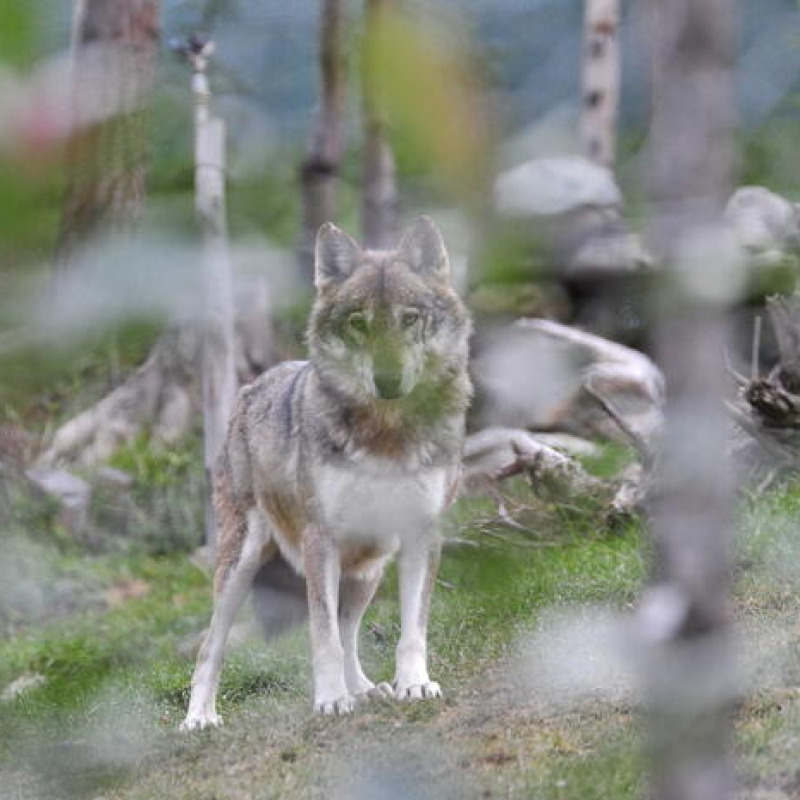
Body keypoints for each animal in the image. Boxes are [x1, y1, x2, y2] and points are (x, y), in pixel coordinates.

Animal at [183, 216, 468, 728]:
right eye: (358, 322)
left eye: (409, 318)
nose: (388, 380)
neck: (386, 436)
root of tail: (252, 386)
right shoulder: (320, 538)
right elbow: (322, 636)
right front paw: (331, 700)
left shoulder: (421, 532)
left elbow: (410, 630)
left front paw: (413, 685)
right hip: (241, 565)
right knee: (209, 647)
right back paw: (199, 719)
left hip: (369, 565)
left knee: (350, 628)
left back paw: (369, 690)